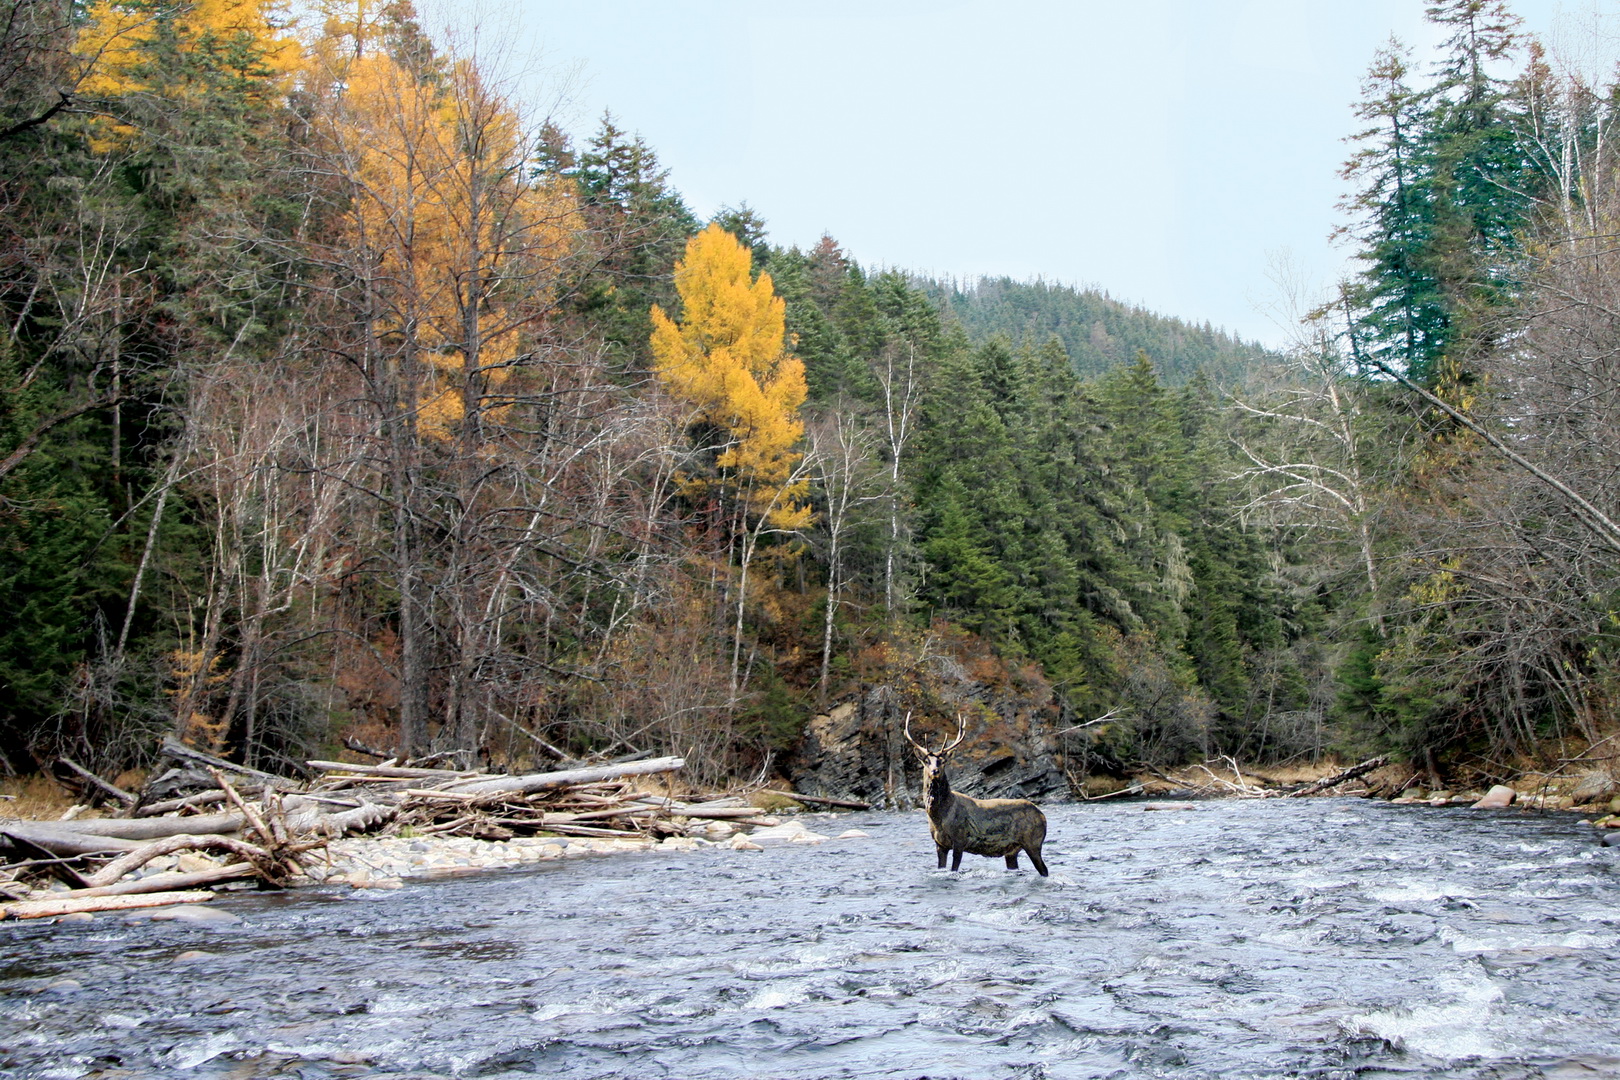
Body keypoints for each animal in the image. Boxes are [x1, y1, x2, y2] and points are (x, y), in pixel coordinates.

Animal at [900, 712, 1049, 874]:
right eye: (926, 761)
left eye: (942, 761)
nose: (935, 771)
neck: (939, 817)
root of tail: (1042, 816)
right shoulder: (940, 844)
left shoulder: (960, 838)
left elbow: (954, 867)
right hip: (1012, 851)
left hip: (1033, 842)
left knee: (1044, 870)